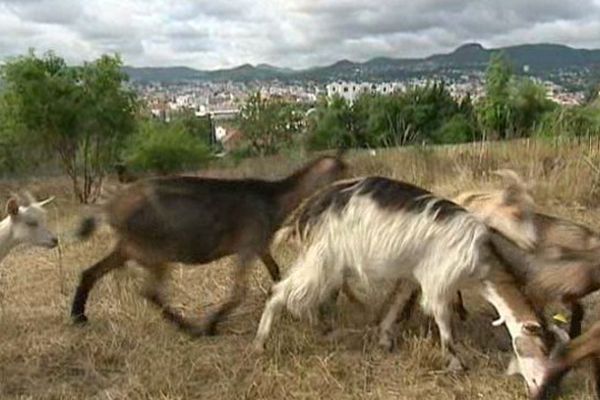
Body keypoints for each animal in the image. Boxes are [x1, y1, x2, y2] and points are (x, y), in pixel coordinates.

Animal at [70, 155, 346, 336]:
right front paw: (212, 324)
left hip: (129, 246)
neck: (274, 198)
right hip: (155, 250)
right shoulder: (248, 243)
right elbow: (239, 291)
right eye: (342, 169)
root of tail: (110, 207)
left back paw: (78, 316)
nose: (349, 186)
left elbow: (276, 273)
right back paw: (190, 328)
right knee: (150, 291)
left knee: (91, 272)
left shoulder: (260, 245)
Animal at [253, 178, 564, 400]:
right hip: (322, 259)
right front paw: (456, 364)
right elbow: (444, 321)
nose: (546, 391)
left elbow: (397, 303)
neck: (482, 262)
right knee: (279, 291)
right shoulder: (438, 279)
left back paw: (323, 329)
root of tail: (305, 213)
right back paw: (261, 342)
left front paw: (384, 339)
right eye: (542, 350)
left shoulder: (413, 275)